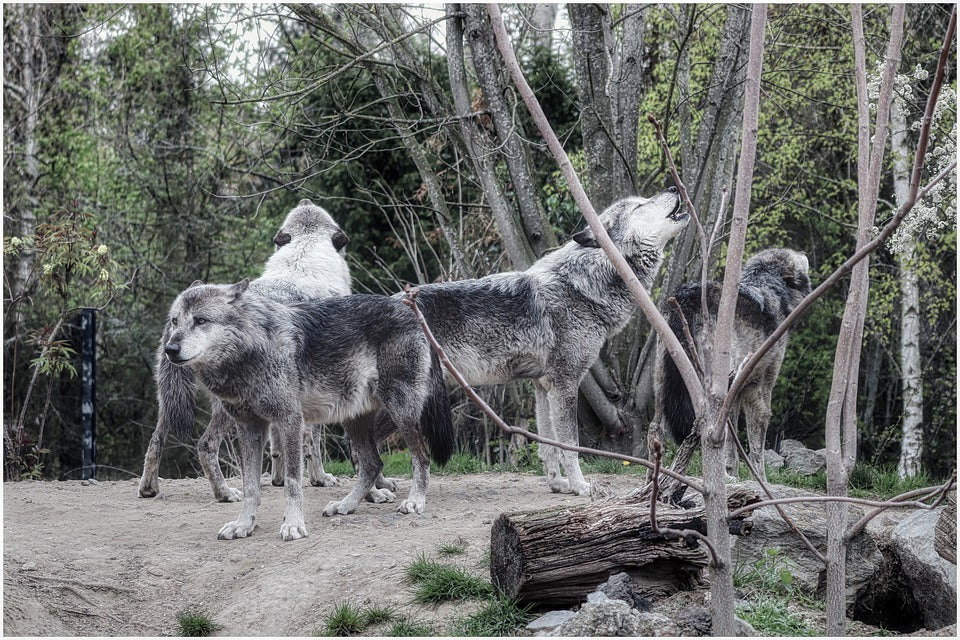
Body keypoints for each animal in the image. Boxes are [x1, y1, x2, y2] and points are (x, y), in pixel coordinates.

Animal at [139, 198, 352, 502]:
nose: (305, 199)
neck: (304, 262)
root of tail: (177, 316)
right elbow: (313, 442)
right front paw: (319, 479)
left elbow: (278, 445)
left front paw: (279, 479)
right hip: (226, 409)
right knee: (205, 445)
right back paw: (225, 493)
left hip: (171, 401)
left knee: (156, 440)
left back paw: (149, 488)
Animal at [160, 284, 454, 540]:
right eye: (175, 321)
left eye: (200, 320)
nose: (170, 349)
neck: (250, 355)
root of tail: (412, 314)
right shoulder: (250, 428)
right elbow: (251, 486)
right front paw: (243, 525)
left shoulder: (289, 420)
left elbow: (292, 482)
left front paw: (293, 525)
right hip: (354, 421)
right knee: (373, 464)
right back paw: (345, 505)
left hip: (400, 411)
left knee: (421, 456)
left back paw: (415, 501)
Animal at [652, 248, 808, 478]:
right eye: (794, 254)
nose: (803, 251)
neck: (769, 287)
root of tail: (687, 299)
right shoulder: (758, 389)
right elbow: (756, 452)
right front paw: (760, 480)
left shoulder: (736, 393)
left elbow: (733, 451)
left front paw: (733, 474)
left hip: (664, 391)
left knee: (656, 432)